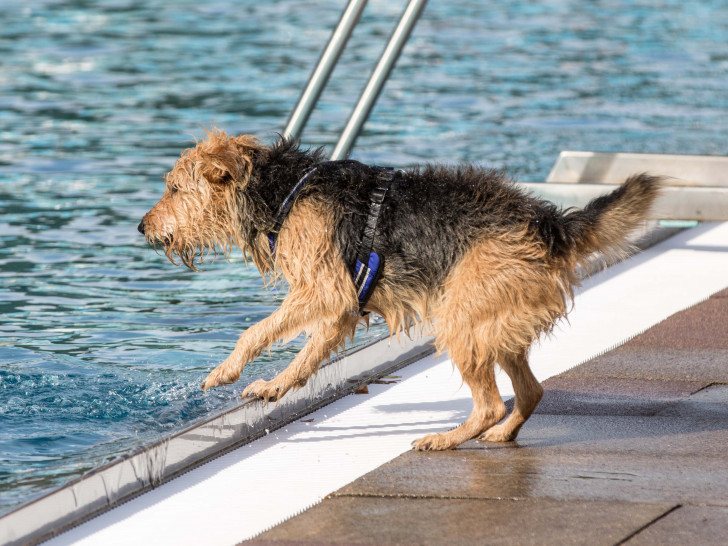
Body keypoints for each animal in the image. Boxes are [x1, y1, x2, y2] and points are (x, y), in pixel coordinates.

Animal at [139, 129, 664, 450]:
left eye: (174, 189)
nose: (141, 226)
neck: (283, 191)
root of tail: (549, 223)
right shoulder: (340, 305)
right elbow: (308, 352)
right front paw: (276, 386)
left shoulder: (323, 290)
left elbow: (256, 330)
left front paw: (225, 372)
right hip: (493, 316)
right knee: (530, 391)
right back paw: (500, 434)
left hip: (461, 318)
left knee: (492, 403)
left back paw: (446, 439)